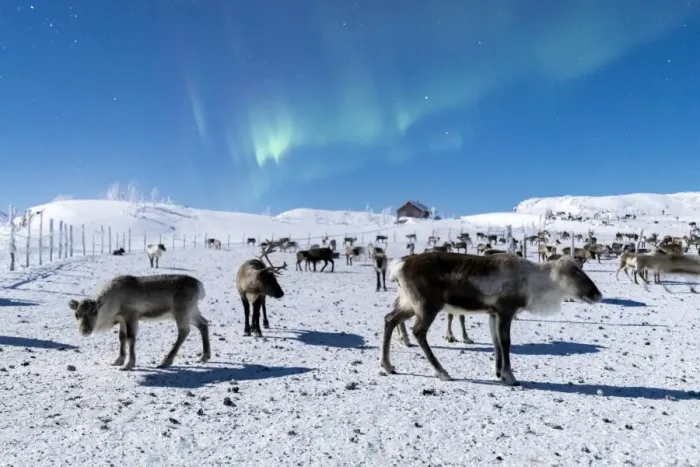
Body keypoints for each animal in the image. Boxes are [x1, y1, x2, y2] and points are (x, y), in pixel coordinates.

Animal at [68, 274, 210, 371]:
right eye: (76, 314)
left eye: (94, 312)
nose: (84, 331)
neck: (112, 303)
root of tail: (200, 285)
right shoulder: (122, 319)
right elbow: (122, 337)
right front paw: (118, 360)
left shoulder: (131, 315)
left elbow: (131, 337)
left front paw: (129, 364)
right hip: (192, 311)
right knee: (203, 323)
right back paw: (205, 356)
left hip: (181, 311)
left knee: (184, 331)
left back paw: (165, 361)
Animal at [381, 252, 602, 385]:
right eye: (575, 271)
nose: (598, 294)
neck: (535, 282)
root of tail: (400, 265)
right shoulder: (506, 310)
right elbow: (505, 342)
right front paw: (510, 376)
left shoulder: (492, 313)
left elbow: (496, 342)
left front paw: (498, 372)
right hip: (427, 306)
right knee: (418, 331)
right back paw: (441, 372)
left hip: (409, 303)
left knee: (389, 319)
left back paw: (387, 366)